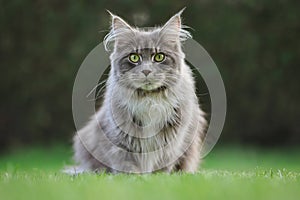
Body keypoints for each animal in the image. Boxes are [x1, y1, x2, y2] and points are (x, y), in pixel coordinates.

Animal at [70, 9, 206, 173]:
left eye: (159, 57)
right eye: (134, 58)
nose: (146, 71)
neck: (149, 100)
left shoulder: (172, 140)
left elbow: (163, 166)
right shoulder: (120, 139)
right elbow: (127, 164)